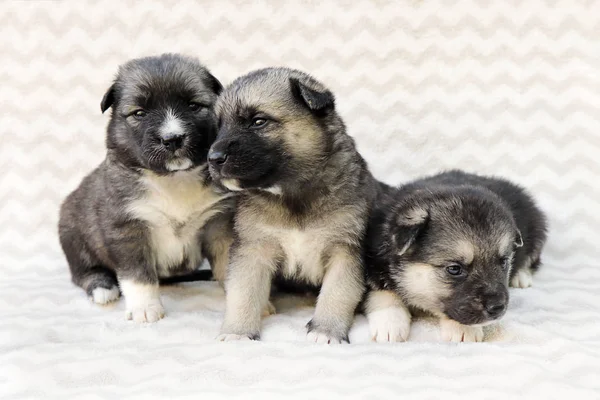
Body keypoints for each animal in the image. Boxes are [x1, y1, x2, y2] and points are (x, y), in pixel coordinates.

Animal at [57, 54, 233, 322]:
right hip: (72, 233)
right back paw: (102, 288)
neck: (174, 179)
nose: (172, 139)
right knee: (83, 272)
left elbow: (230, 265)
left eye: (194, 106)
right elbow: (138, 275)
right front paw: (145, 308)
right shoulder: (128, 228)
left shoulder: (219, 222)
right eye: (139, 113)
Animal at [206, 67, 376, 342]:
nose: (213, 158)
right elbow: (242, 292)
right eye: (219, 127)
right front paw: (237, 332)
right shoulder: (253, 248)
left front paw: (326, 330)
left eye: (258, 121)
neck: (291, 196)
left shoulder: (345, 250)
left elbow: (337, 293)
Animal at [364, 170, 548, 342]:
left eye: (503, 262)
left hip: (537, 227)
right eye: (454, 269)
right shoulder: (374, 265)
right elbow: (383, 291)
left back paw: (521, 276)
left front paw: (463, 328)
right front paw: (389, 322)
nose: (498, 307)